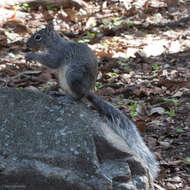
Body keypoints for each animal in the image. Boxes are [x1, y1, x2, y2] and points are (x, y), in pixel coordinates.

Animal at [25, 23, 159, 179]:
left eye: (38, 37)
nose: (26, 44)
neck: (54, 43)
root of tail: (88, 90)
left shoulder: (58, 54)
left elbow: (51, 61)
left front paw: (31, 56)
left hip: (72, 76)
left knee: (79, 97)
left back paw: (68, 99)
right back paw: (58, 92)